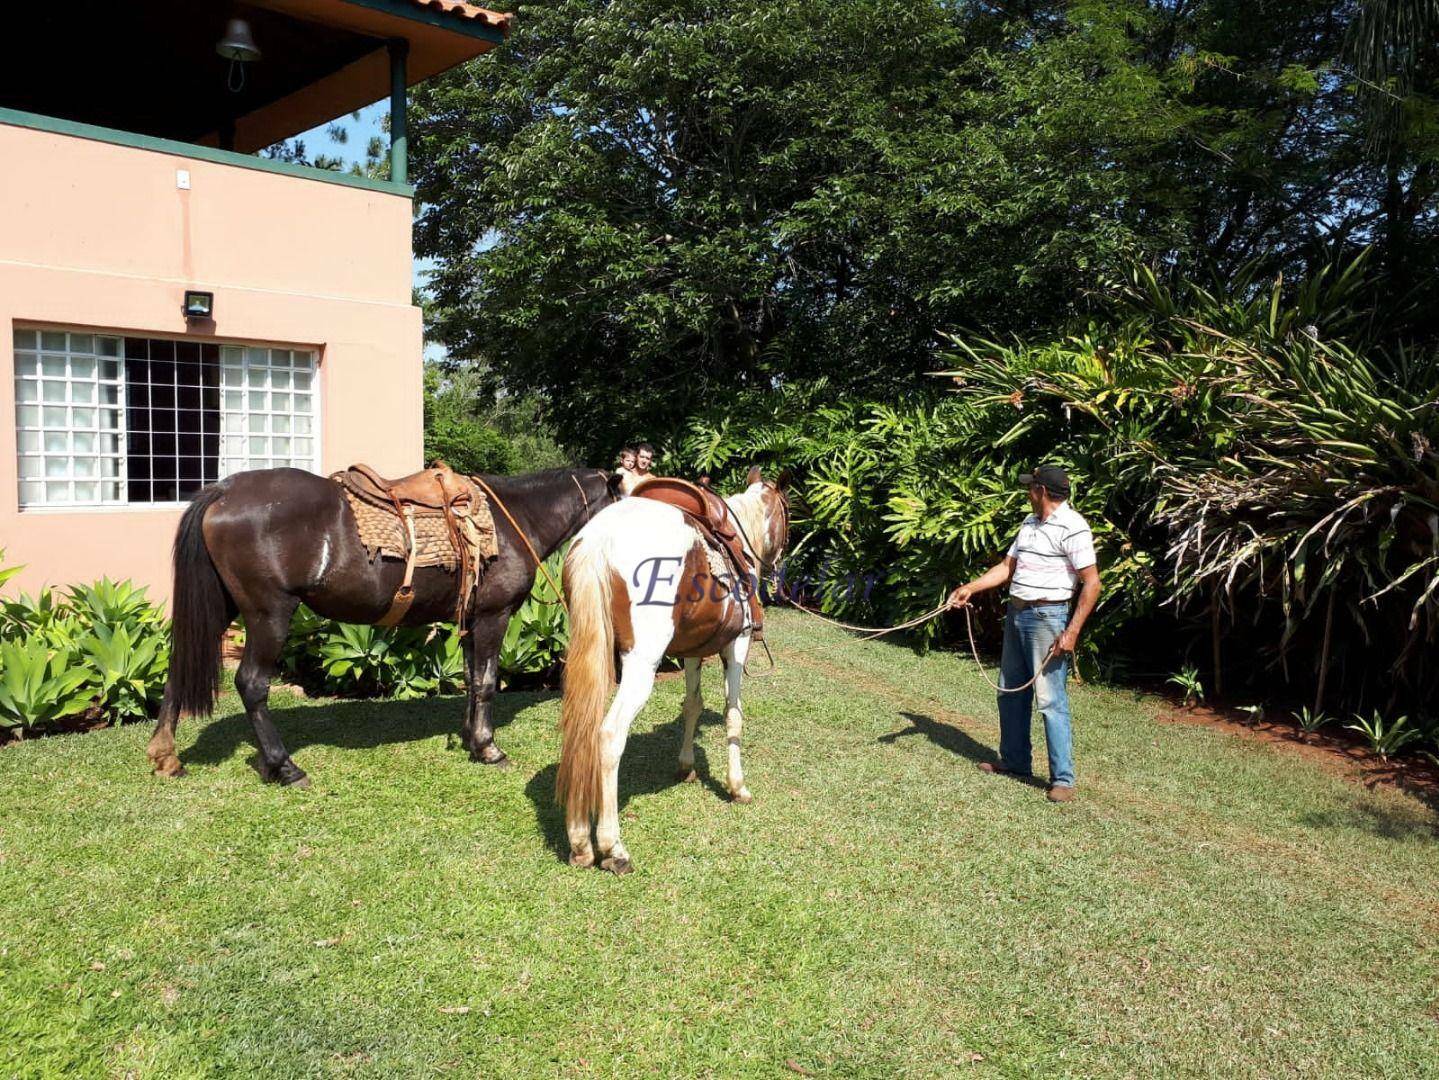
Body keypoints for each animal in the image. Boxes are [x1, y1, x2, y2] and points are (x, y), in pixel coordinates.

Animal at [148, 465, 621, 788]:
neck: (513, 520)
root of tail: (224, 489)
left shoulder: (470, 621)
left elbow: (471, 681)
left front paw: (470, 739)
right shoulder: (493, 616)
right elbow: (487, 684)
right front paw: (488, 748)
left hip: (224, 606)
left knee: (178, 667)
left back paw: (167, 753)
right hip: (270, 615)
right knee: (251, 684)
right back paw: (284, 766)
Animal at [558, 468, 788, 874]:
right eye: (788, 514)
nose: (781, 561)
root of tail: (599, 540)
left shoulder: (694, 652)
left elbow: (692, 705)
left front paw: (686, 766)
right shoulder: (738, 645)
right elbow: (733, 715)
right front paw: (737, 786)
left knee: (582, 728)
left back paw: (581, 842)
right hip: (640, 664)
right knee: (609, 735)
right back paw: (613, 847)